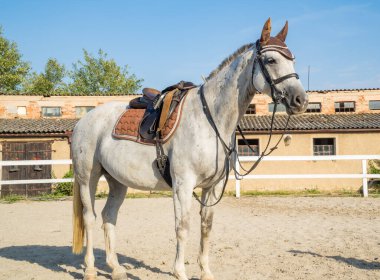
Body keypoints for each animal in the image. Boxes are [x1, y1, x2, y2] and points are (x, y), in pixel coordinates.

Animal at [71, 18, 308, 278]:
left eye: (293, 59)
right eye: (271, 60)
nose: (301, 100)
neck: (210, 119)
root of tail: (83, 120)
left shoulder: (213, 186)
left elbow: (206, 226)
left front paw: (205, 272)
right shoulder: (183, 185)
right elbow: (182, 227)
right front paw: (179, 272)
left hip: (117, 181)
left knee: (109, 217)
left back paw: (116, 268)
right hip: (88, 177)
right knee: (90, 218)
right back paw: (90, 269)